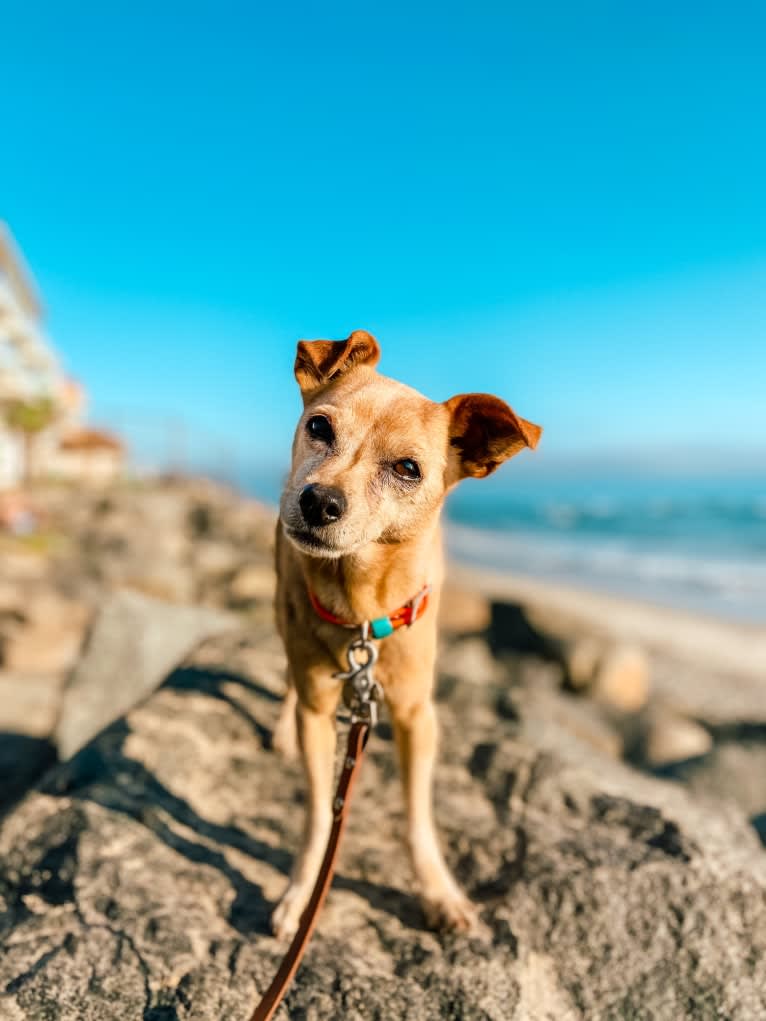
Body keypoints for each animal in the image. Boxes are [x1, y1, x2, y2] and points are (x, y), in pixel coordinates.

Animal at [273, 330, 543, 935]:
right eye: (319, 426)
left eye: (407, 468)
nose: (319, 500)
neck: (359, 604)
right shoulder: (319, 714)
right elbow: (317, 814)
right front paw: (302, 891)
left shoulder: (419, 718)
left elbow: (418, 815)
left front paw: (438, 891)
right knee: (287, 673)